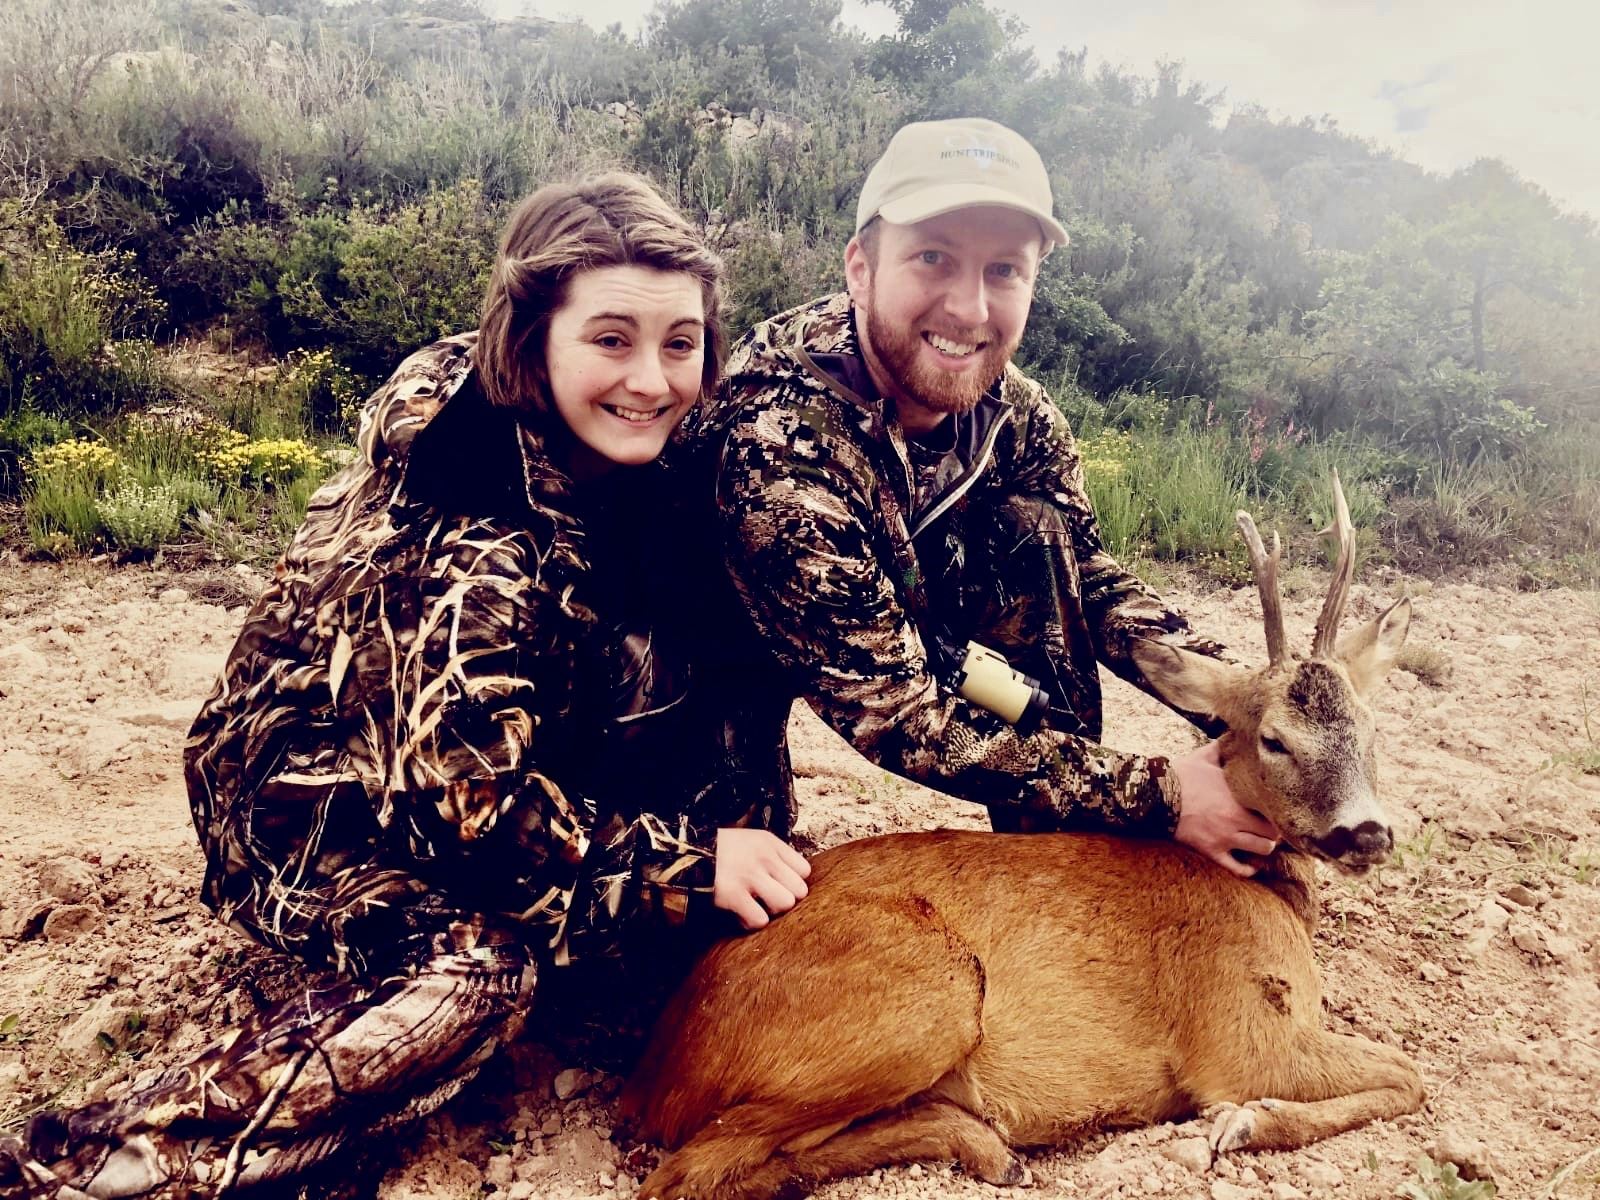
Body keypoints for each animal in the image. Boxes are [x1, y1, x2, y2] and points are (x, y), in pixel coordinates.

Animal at [618, 475, 1425, 1200]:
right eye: (1273, 739)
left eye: (1372, 727)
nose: (1367, 833)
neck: (1268, 894)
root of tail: (655, 1070)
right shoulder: (1239, 1038)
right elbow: (1410, 1078)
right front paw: (1243, 1124)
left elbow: (1407, 1077)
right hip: (927, 996)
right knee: (689, 1173)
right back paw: (985, 1142)